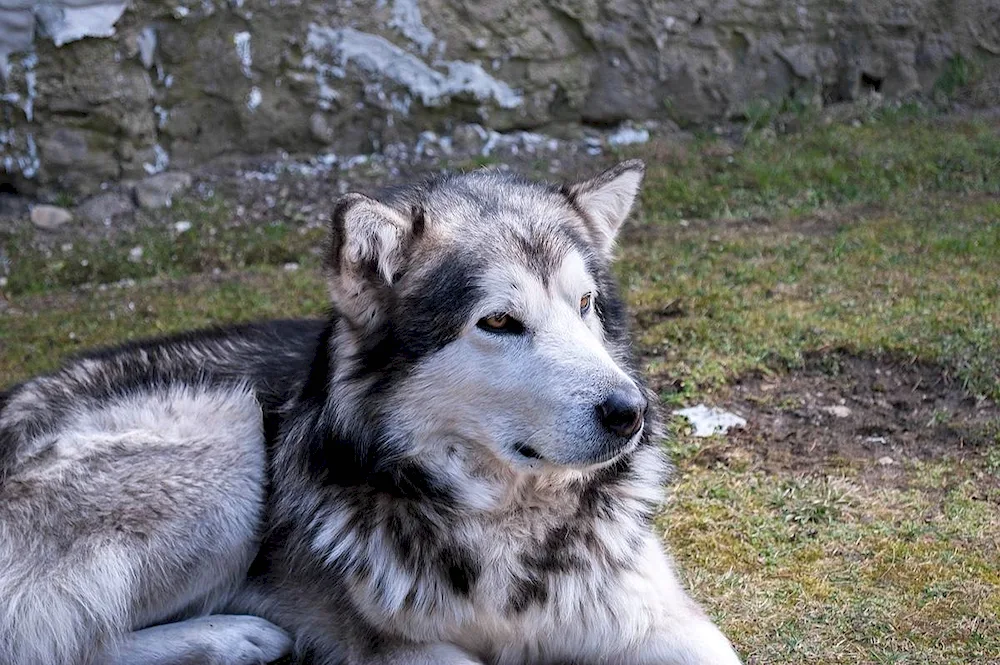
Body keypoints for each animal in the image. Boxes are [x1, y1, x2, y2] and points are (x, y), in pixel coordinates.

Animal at [1, 161, 744, 664]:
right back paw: (233, 636)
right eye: (499, 321)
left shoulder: (663, 620)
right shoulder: (400, 649)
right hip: (228, 437)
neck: (508, 526)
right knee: (59, 645)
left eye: (585, 304)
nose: (631, 412)